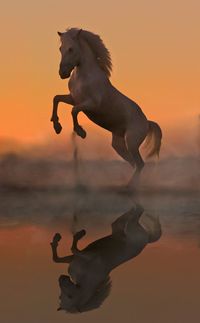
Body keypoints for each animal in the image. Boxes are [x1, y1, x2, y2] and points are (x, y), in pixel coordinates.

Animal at [50, 28, 162, 187]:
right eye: (60, 48)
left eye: (71, 49)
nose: (62, 73)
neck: (83, 76)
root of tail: (147, 122)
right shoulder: (73, 98)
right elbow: (56, 99)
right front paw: (57, 126)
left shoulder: (92, 104)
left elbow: (74, 110)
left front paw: (81, 132)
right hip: (119, 145)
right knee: (134, 164)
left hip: (131, 142)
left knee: (140, 164)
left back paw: (129, 187)